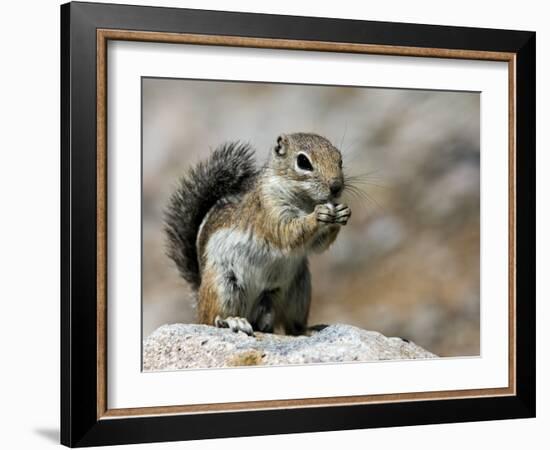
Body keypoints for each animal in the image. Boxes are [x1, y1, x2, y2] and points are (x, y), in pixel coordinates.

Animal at [165, 132, 354, 336]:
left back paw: (305, 330)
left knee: (290, 325)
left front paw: (342, 212)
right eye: (303, 162)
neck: (305, 201)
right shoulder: (269, 209)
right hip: (223, 285)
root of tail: (199, 295)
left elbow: (318, 246)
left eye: (340, 159)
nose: (336, 186)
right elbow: (287, 233)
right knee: (211, 319)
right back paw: (232, 321)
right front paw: (317, 215)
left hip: (297, 290)